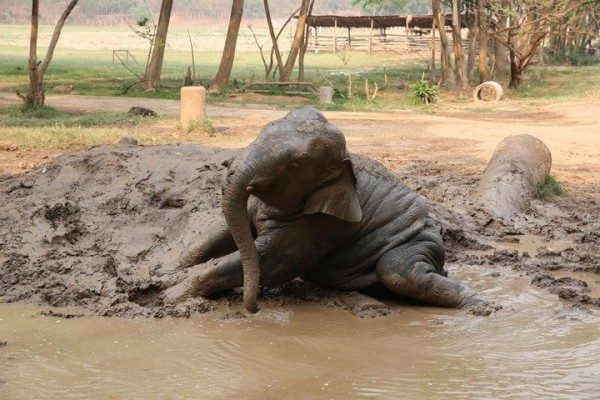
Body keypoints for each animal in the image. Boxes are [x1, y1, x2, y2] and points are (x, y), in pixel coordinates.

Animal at [165, 106, 496, 316]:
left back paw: (482, 306)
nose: (255, 307)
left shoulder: (324, 224)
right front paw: (166, 272)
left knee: (399, 272)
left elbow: (272, 260)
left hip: (421, 244)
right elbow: (222, 233)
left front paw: (170, 295)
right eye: (262, 129)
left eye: (292, 166)